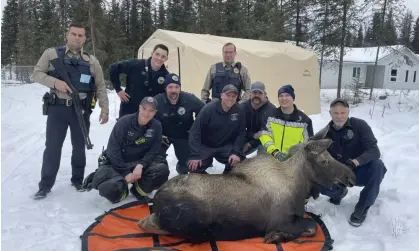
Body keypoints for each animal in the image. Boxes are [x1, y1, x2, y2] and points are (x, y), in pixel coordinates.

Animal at [139, 138, 358, 244]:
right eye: (324, 160)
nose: (351, 176)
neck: (300, 187)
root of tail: (157, 201)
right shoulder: (279, 221)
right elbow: (312, 225)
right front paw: (277, 237)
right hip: (195, 217)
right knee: (148, 224)